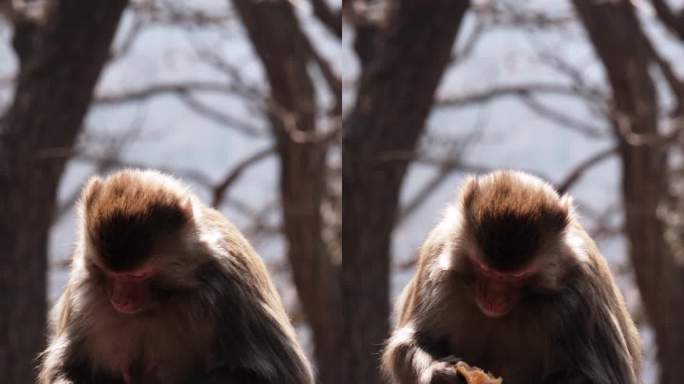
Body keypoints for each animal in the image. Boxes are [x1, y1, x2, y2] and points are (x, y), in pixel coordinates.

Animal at [37, 169, 316, 384]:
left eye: (139, 275)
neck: (161, 299)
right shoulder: (82, 291)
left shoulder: (232, 288)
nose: (121, 300)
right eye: (109, 272)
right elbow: (66, 369)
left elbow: (275, 375)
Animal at [382, 171, 644, 384]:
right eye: (485, 270)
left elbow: (598, 377)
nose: (493, 298)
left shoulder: (578, 298)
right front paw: (438, 374)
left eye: (516, 276)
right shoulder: (438, 266)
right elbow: (409, 343)